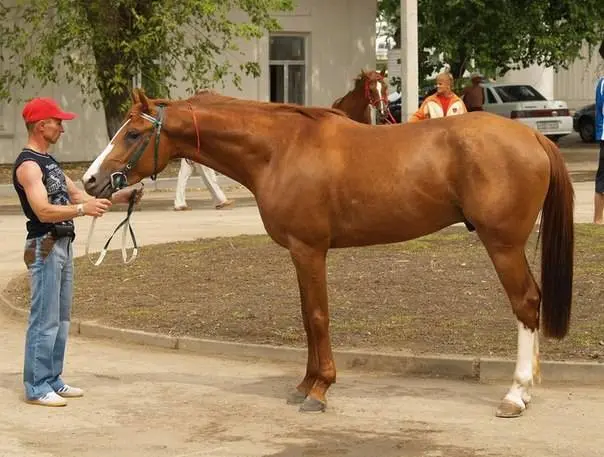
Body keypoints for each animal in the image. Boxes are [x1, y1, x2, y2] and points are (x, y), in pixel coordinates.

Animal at [82, 88, 572, 416]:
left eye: (133, 134)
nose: (90, 181)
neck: (280, 149)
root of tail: (534, 139)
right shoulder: (300, 254)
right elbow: (305, 317)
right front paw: (305, 384)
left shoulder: (309, 250)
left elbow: (318, 316)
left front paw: (319, 391)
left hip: (502, 244)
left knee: (526, 303)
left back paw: (516, 394)